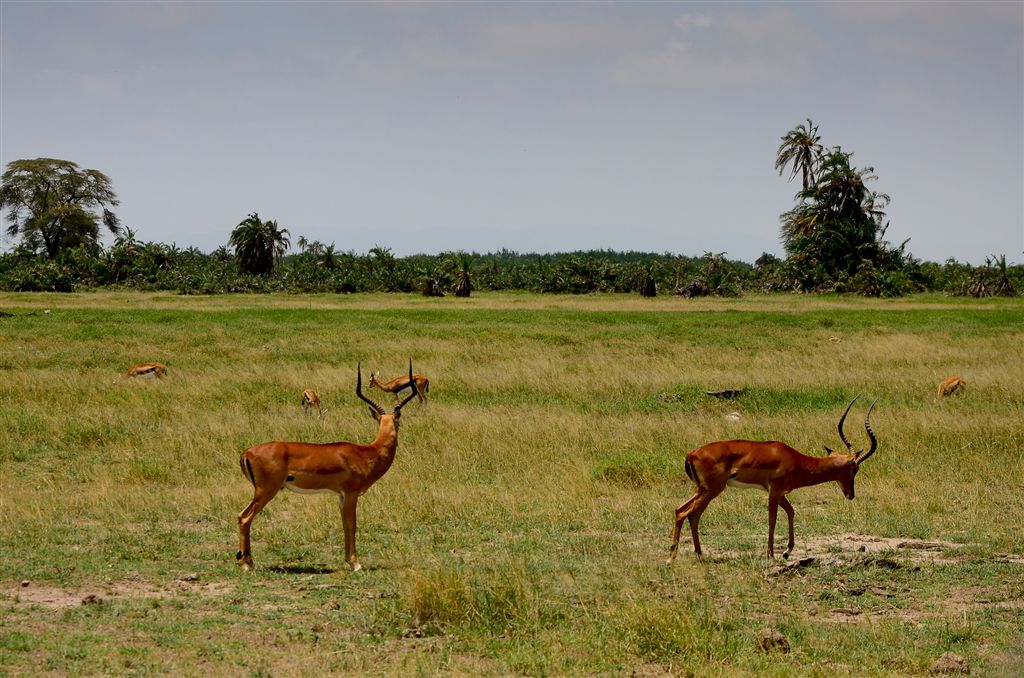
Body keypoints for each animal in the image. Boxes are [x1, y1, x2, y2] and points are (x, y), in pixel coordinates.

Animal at [235, 364, 415, 569]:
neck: (367, 453)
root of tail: (247, 452)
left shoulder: (341, 497)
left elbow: (345, 525)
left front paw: (348, 561)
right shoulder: (351, 494)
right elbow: (352, 524)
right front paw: (356, 564)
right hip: (266, 491)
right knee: (244, 517)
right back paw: (246, 564)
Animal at [667, 399, 876, 561]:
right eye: (855, 469)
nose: (851, 494)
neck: (795, 460)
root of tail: (691, 454)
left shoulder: (780, 493)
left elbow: (791, 512)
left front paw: (787, 551)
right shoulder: (774, 492)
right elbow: (772, 520)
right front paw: (771, 554)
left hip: (704, 490)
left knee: (688, 513)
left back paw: (699, 554)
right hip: (711, 490)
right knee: (684, 513)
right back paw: (672, 557)